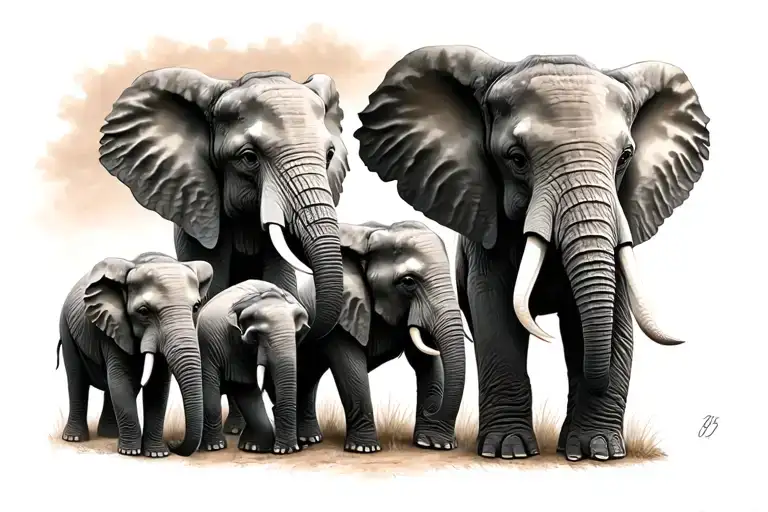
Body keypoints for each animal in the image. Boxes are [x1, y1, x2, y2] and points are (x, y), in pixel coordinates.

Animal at [56, 252, 213, 457]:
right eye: (143, 311)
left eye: (195, 308)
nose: (173, 444)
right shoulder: (114, 326)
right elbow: (121, 380)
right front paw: (130, 452)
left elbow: (158, 386)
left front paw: (157, 454)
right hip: (66, 327)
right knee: (77, 379)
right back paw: (74, 438)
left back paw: (110, 435)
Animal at [197, 280, 309, 454]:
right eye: (257, 336)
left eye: (297, 335)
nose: (287, 450)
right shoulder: (210, 345)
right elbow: (211, 387)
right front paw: (215, 447)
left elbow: (247, 390)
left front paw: (254, 447)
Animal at [293, 221, 467, 453]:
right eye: (408, 281)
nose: (432, 409)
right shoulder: (341, 316)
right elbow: (351, 368)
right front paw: (364, 449)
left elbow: (427, 363)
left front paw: (436, 444)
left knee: (309, 377)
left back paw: (309, 439)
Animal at [353, 46, 710, 462]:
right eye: (516, 158)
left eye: (625, 157)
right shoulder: (484, 224)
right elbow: (495, 311)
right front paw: (508, 451)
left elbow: (616, 313)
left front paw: (600, 452)